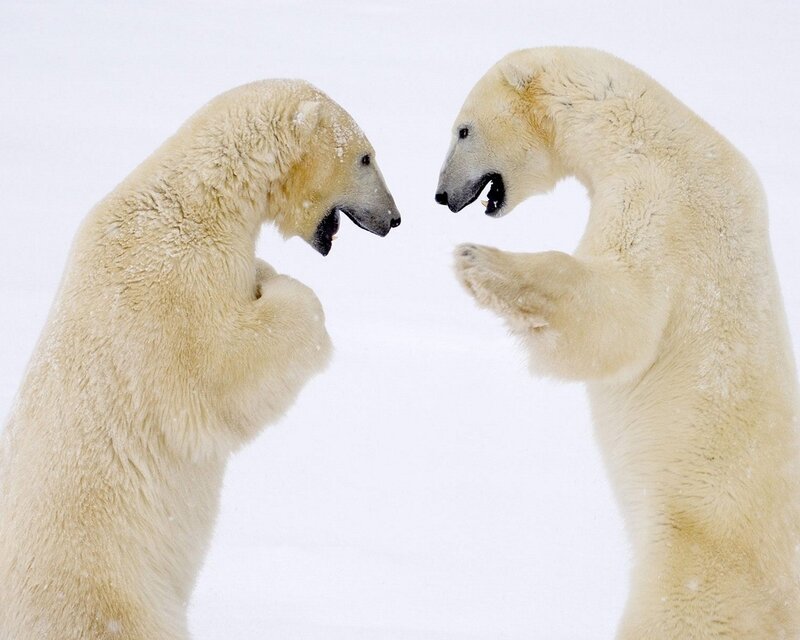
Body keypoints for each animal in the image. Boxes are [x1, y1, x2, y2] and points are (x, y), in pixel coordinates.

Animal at [0, 79, 399, 640]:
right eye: (366, 157)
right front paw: (283, 289)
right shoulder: (172, 280)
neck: (199, 198)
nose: (394, 218)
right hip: (106, 599)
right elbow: (219, 372)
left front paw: (264, 271)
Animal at [435, 47, 800, 639]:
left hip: (696, 572)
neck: (643, 130)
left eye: (463, 129)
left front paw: (479, 261)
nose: (442, 195)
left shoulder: (662, 200)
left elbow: (621, 316)